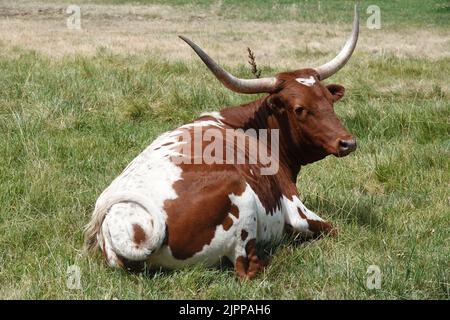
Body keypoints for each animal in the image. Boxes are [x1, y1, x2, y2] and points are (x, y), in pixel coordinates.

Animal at [85, 6, 358, 278]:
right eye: (299, 108)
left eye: (329, 100)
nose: (348, 142)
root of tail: (122, 226)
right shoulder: (297, 210)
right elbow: (333, 229)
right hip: (242, 203)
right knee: (249, 268)